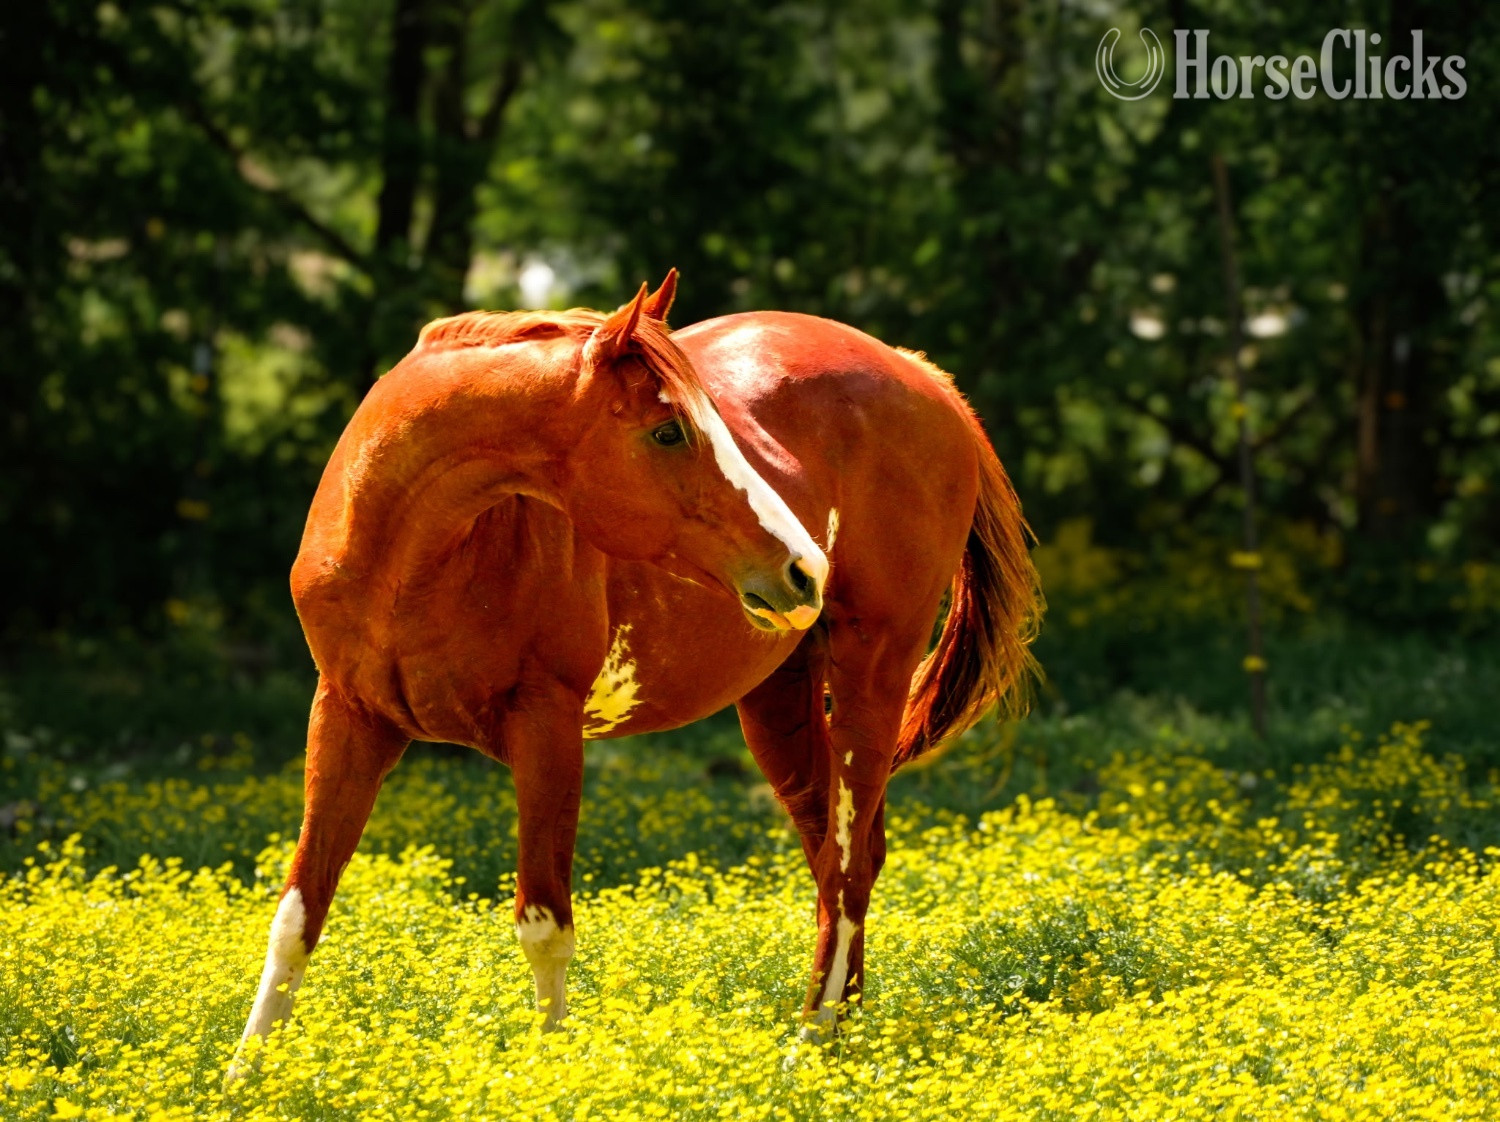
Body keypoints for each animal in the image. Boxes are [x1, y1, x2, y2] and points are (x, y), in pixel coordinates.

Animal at [229, 272, 1040, 1076]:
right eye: (668, 430)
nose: (805, 567)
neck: (409, 554)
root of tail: (922, 377)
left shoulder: (548, 731)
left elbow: (543, 924)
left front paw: (548, 1074)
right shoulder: (347, 718)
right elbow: (298, 912)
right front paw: (244, 1077)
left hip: (873, 671)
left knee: (843, 869)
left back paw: (806, 1049)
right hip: (778, 701)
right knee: (847, 858)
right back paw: (843, 1038)